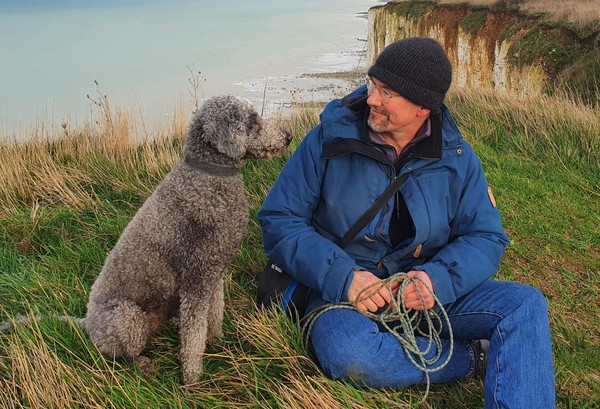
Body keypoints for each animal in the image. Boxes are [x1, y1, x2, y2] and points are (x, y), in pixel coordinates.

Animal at [0, 94, 290, 384]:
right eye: (252, 120)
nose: (287, 137)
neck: (208, 178)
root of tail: (87, 323)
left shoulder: (215, 269)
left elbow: (214, 309)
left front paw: (217, 340)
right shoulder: (196, 276)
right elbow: (194, 334)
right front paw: (193, 377)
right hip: (127, 318)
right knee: (115, 356)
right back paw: (141, 364)